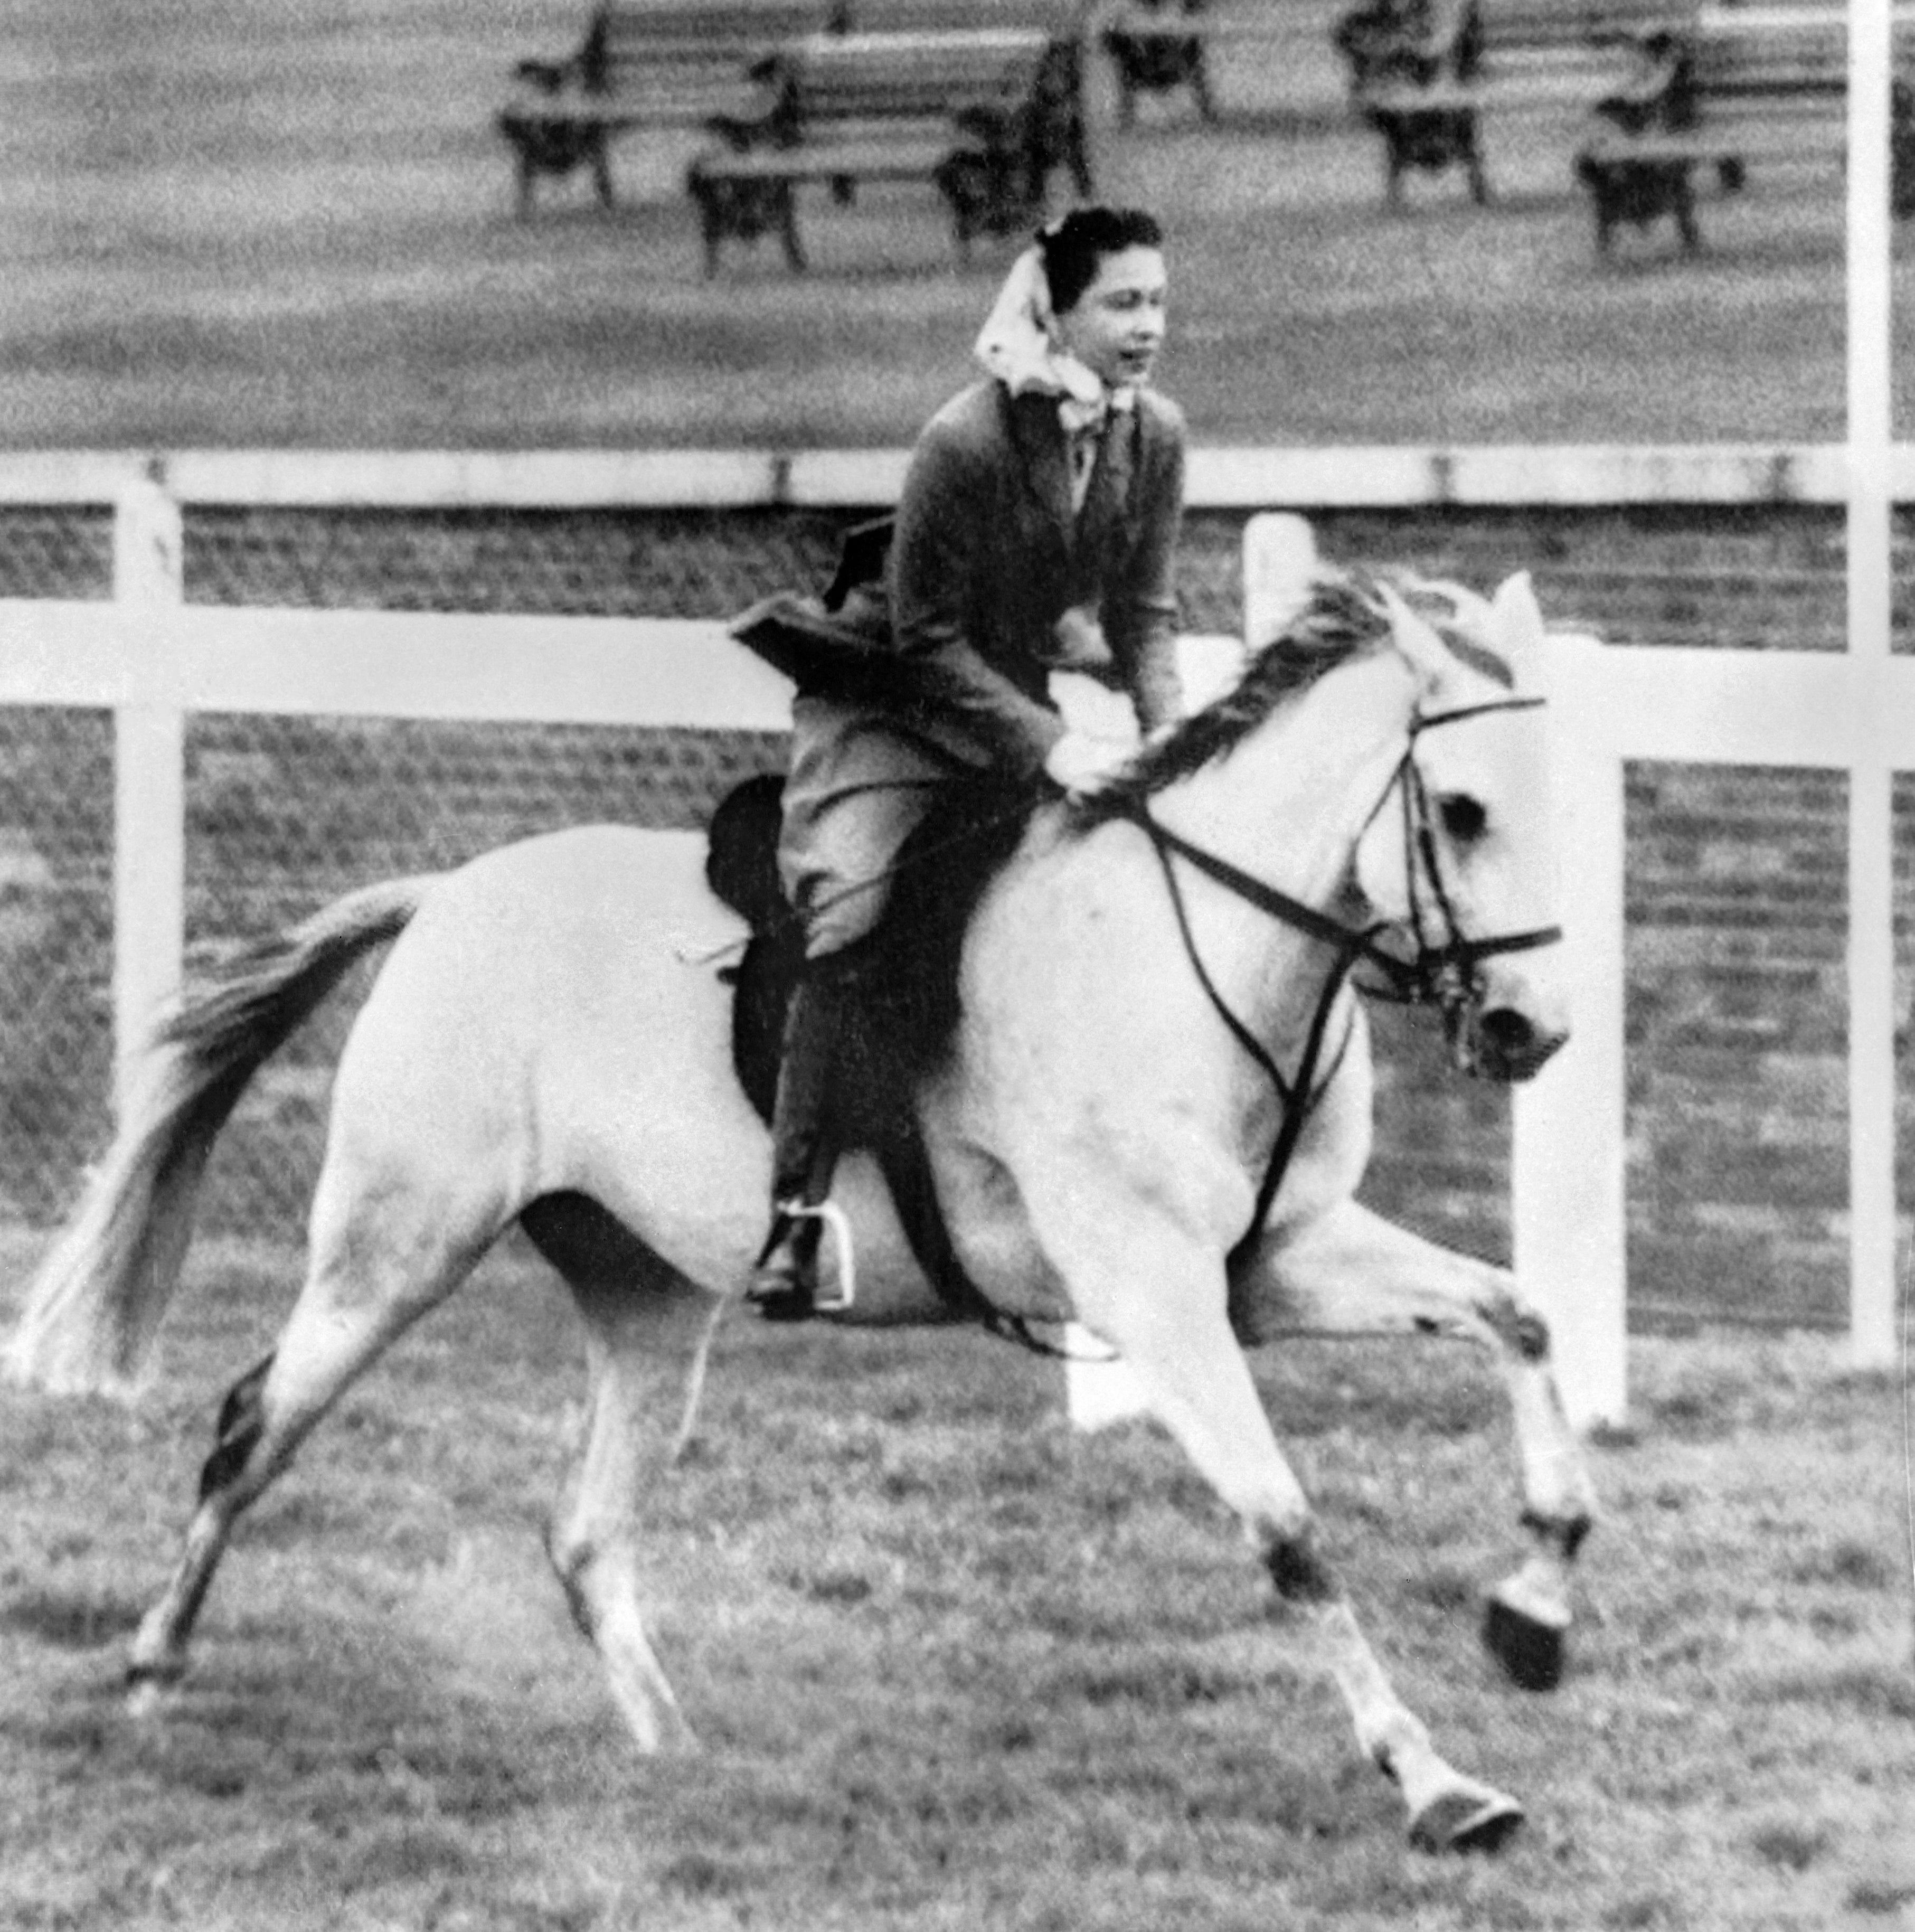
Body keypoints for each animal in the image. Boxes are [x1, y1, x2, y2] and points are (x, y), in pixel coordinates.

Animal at [7, 529, 1600, 1854]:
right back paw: (149, 1672)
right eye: (1462, 811)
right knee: (250, 1430)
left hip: (646, 1295)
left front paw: (1532, 1610)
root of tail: (444, 894)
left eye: (1555, 805)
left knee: (584, 1535)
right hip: (394, 1250)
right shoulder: (1153, 1293)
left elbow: (1517, 1316)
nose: (1532, 1032)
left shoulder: (1273, 1264)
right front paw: (1435, 1778)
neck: (1198, 941)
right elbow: (1289, 1529)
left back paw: (674, 1754)